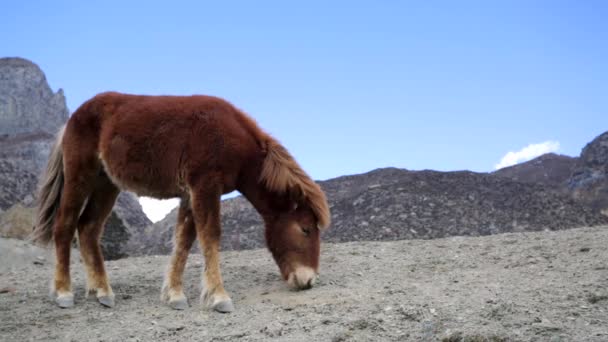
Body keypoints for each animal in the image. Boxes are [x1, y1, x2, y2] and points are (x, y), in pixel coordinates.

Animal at [30, 91, 330, 312]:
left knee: (88, 228)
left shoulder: (190, 194)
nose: (308, 280)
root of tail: (72, 119)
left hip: (106, 185)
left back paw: (101, 291)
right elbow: (210, 236)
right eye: (305, 229)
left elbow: (184, 241)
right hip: (80, 177)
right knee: (65, 226)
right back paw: (63, 293)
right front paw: (219, 297)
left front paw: (174, 295)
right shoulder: (205, 188)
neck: (229, 135)